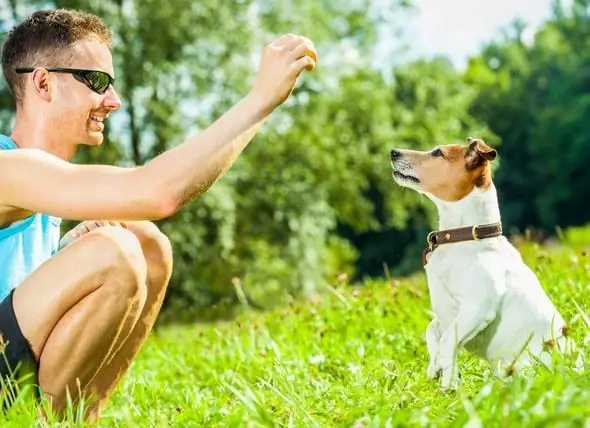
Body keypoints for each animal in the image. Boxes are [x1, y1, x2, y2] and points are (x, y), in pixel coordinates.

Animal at [390, 138, 576, 392]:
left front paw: (448, 388)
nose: (393, 152)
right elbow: (432, 331)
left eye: (438, 153)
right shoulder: (445, 311)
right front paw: (435, 368)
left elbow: (447, 341)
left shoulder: (477, 308)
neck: (464, 237)